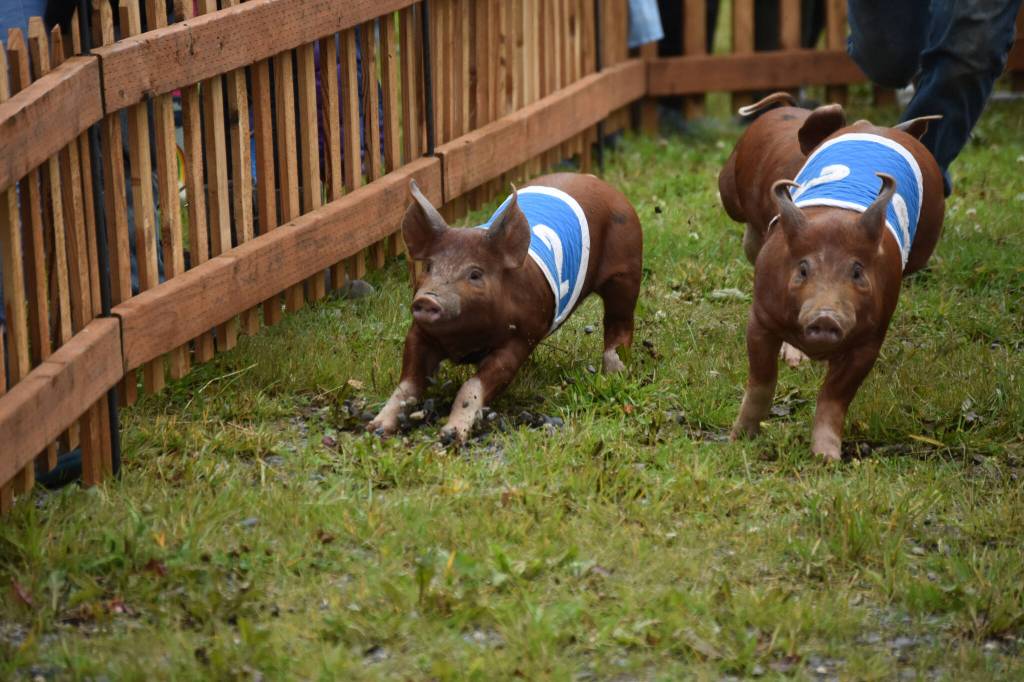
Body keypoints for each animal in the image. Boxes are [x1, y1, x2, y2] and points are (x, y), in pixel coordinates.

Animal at [368, 173, 643, 444]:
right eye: (428, 267)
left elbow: (474, 386)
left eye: (475, 274)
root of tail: (600, 183)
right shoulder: (420, 333)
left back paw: (614, 374)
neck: (462, 341)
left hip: (626, 268)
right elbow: (407, 384)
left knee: (620, 321)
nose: (428, 300)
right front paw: (376, 429)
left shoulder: (520, 338)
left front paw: (450, 436)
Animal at [719, 92, 945, 461]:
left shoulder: (870, 337)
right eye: (802, 269)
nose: (826, 316)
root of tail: (875, 126)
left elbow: (834, 397)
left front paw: (827, 458)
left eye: (857, 271)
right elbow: (761, 381)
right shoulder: (761, 317)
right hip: (731, 196)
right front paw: (739, 438)